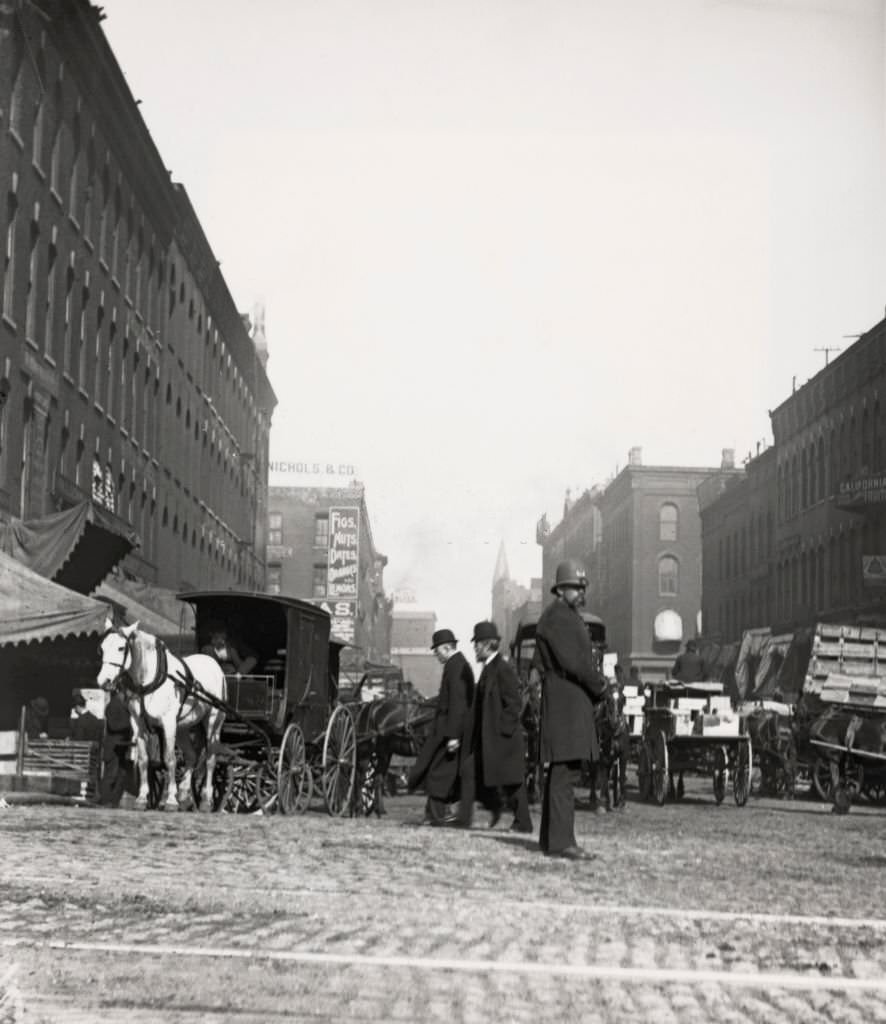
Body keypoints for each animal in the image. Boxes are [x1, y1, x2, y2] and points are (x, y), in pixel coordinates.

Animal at [96, 618, 226, 811]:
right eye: (102, 648)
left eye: (121, 648)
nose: (103, 681)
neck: (149, 680)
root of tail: (214, 663)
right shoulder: (139, 724)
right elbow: (143, 760)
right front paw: (142, 798)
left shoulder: (168, 723)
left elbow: (170, 759)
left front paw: (171, 800)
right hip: (183, 728)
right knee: (192, 756)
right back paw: (184, 793)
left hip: (213, 722)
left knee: (210, 758)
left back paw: (205, 800)